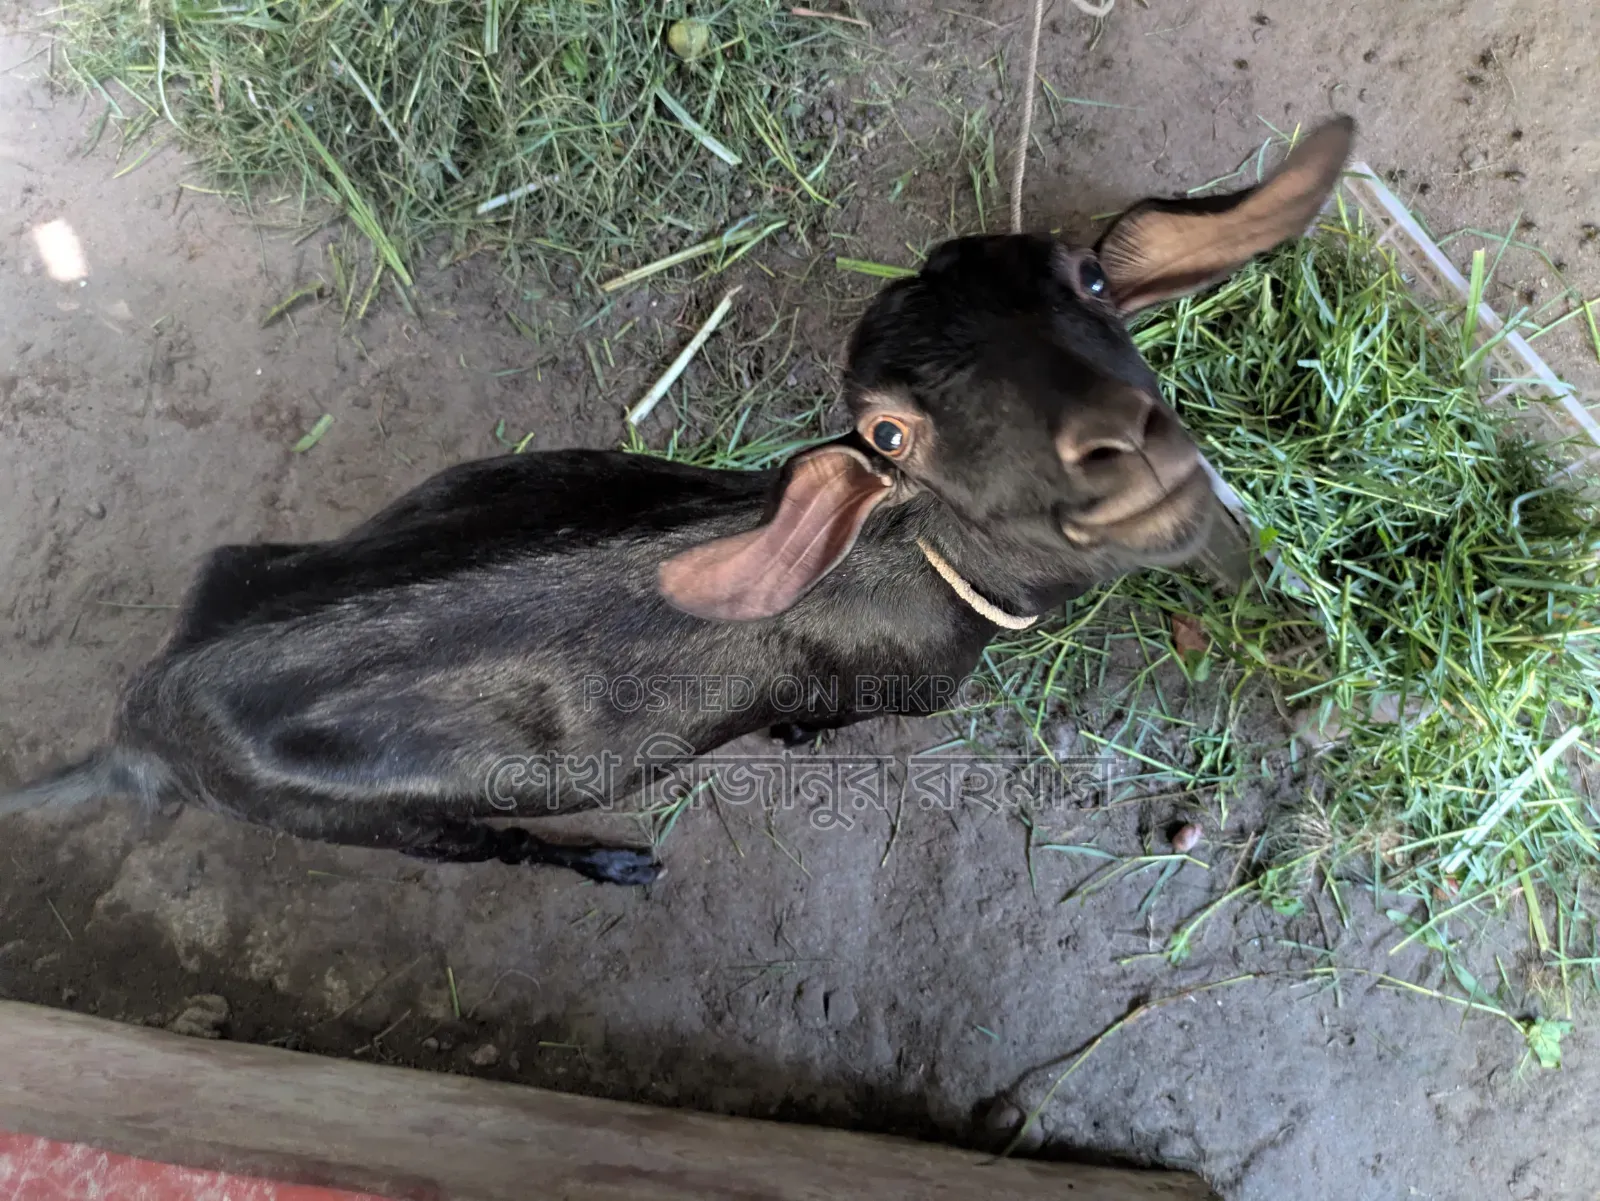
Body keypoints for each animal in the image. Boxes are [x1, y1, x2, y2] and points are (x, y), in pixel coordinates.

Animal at [1, 118, 1354, 886]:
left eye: (1088, 278)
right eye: (888, 433)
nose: (1120, 446)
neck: (927, 557)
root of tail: (142, 727)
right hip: (390, 821)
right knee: (498, 846)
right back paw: (612, 861)